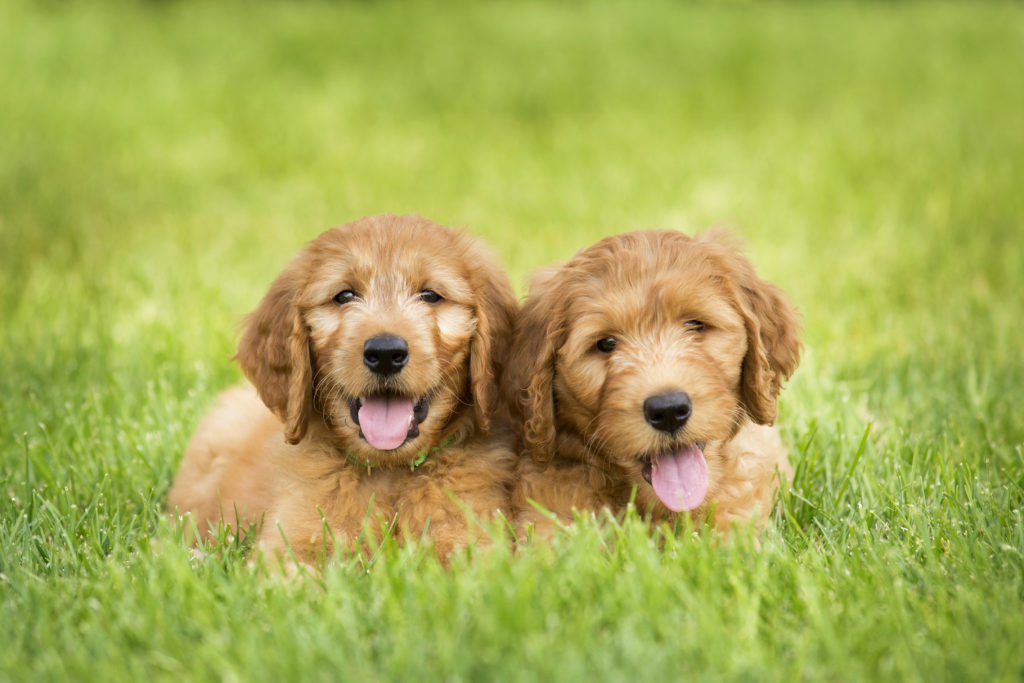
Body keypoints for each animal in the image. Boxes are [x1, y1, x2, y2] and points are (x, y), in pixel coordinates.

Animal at [169, 215, 520, 565]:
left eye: (431, 295)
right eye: (344, 296)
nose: (385, 353)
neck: (389, 471)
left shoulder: (471, 544)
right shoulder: (288, 545)